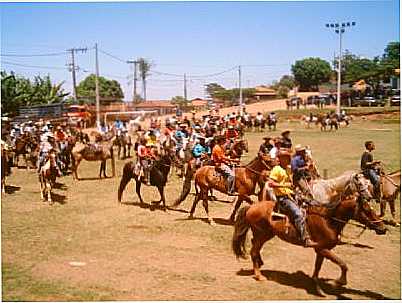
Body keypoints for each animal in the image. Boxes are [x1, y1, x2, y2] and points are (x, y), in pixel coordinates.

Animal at [232, 196, 386, 296]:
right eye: (367, 210)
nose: (383, 228)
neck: (328, 220)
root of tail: (251, 206)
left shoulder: (321, 250)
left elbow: (318, 268)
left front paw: (318, 289)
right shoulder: (322, 249)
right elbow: (343, 264)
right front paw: (339, 282)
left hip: (266, 234)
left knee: (254, 246)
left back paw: (260, 263)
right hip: (262, 234)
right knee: (253, 250)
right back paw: (259, 275)